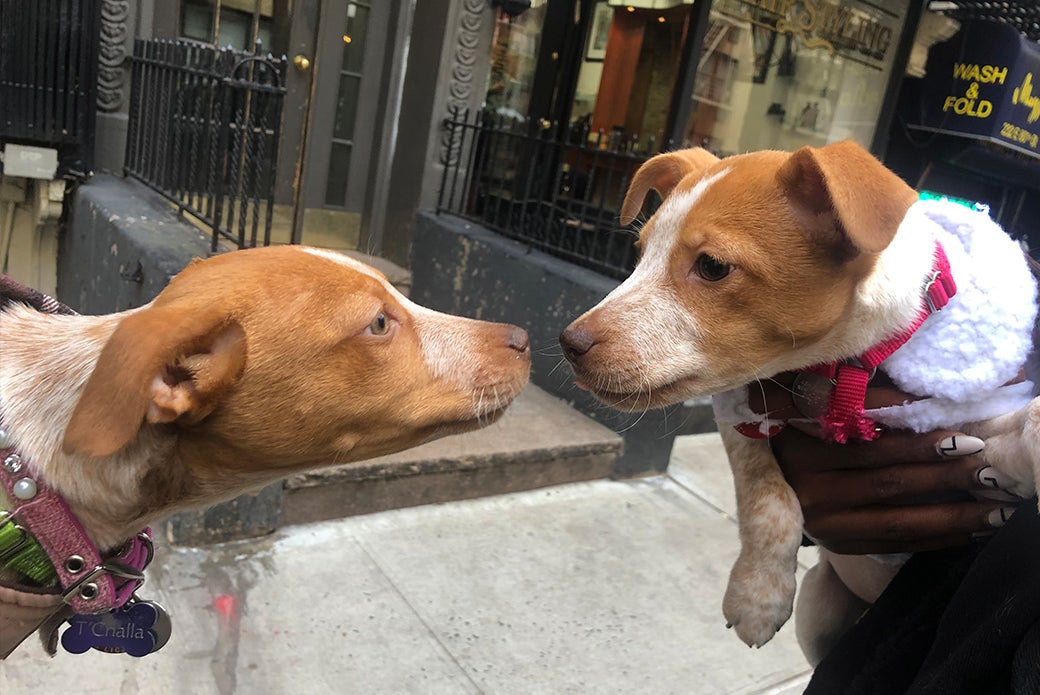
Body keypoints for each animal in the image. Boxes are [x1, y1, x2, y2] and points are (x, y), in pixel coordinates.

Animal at [559, 141, 1039, 655]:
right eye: (641, 253)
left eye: (712, 267)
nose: (568, 344)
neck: (839, 368)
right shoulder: (741, 410)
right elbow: (769, 501)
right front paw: (757, 595)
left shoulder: (971, 408)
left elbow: (1001, 434)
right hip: (819, 610)